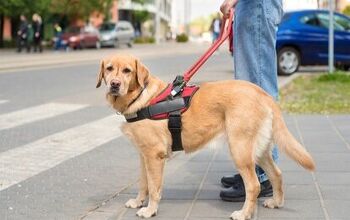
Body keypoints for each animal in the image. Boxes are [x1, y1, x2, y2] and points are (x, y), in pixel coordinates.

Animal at [97, 54, 316, 219]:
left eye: (127, 71)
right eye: (109, 68)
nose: (114, 84)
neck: (140, 97)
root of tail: (263, 93)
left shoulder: (154, 156)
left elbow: (154, 187)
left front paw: (150, 210)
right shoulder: (143, 156)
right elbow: (144, 183)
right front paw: (138, 202)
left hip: (240, 149)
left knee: (254, 185)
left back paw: (244, 213)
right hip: (259, 151)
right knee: (276, 174)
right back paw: (277, 202)